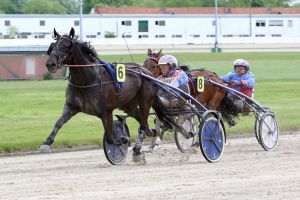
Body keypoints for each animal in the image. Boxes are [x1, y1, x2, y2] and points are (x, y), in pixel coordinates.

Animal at [40, 28, 164, 159]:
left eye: (66, 45)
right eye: (53, 45)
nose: (50, 64)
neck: (88, 79)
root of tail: (147, 72)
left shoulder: (106, 112)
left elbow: (110, 137)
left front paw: (122, 139)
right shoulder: (71, 107)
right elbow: (58, 123)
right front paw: (47, 143)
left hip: (145, 100)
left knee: (145, 124)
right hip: (128, 105)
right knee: (141, 120)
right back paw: (141, 144)